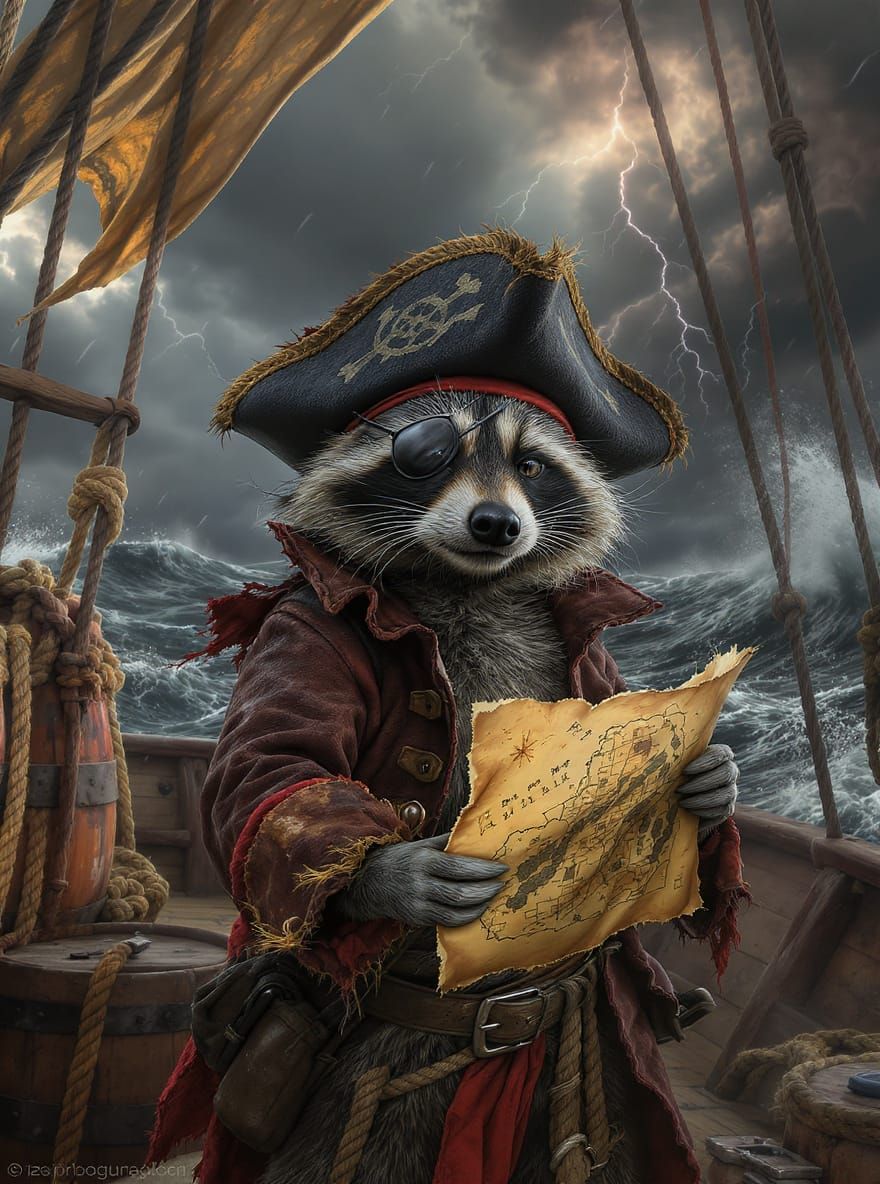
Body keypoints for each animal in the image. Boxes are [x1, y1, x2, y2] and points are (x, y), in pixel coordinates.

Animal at [260, 389, 647, 1184]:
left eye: (531, 465)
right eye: (428, 455)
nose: (497, 523)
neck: (472, 583)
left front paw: (711, 784)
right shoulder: (302, 624)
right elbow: (276, 761)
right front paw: (387, 874)